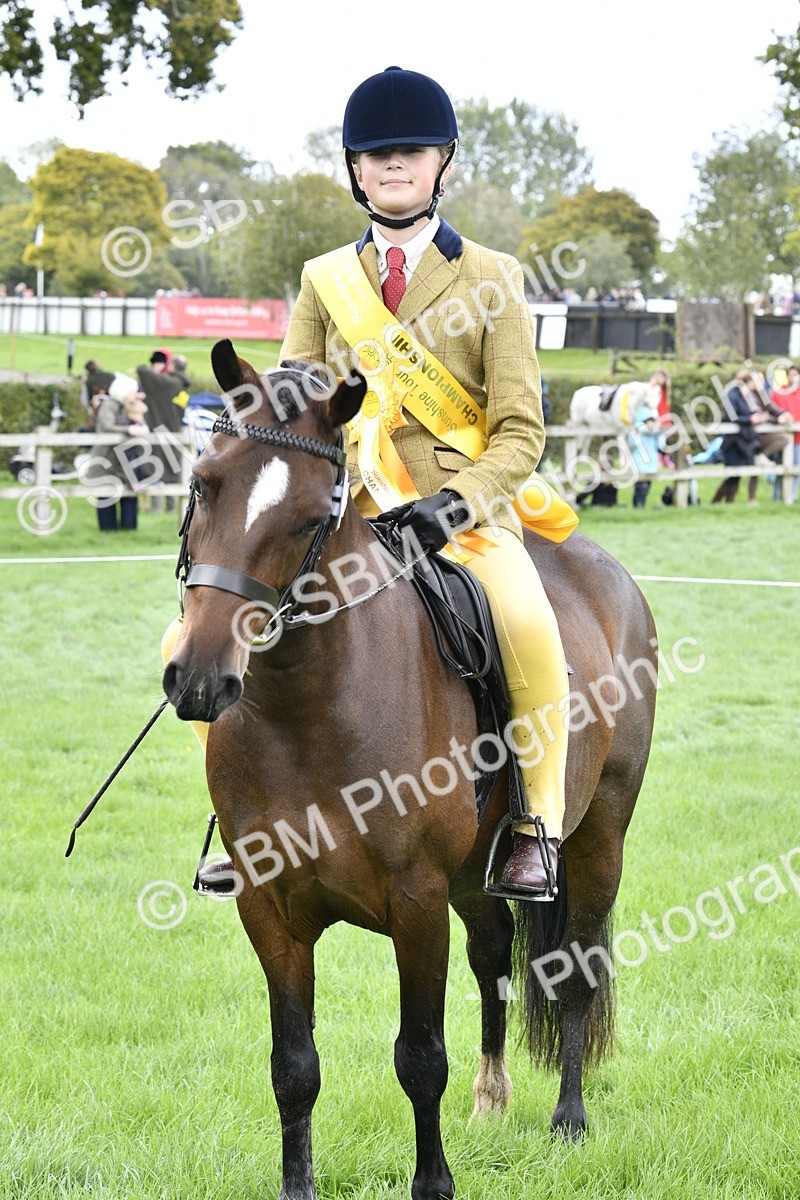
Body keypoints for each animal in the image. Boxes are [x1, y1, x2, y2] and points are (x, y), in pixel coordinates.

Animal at [162, 340, 658, 1200]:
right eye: (203, 484)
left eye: (311, 517)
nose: (197, 678)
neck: (309, 710)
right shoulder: (269, 911)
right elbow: (293, 1067)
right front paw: (298, 1185)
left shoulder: (417, 903)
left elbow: (420, 1058)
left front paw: (435, 1183)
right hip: (475, 877)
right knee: (493, 953)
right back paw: (492, 1098)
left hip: (598, 837)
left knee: (573, 969)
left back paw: (568, 1119)